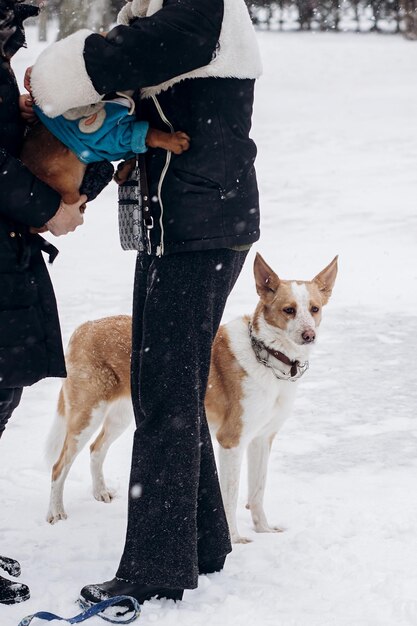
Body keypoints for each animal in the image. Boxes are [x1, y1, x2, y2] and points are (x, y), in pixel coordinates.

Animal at [46, 254, 338, 540]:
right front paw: (235, 539)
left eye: (314, 309)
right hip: (87, 415)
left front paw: (264, 530)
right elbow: (230, 496)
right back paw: (56, 512)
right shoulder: (231, 440)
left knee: (96, 449)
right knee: (59, 465)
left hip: (122, 415)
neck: (267, 355)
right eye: (289, 310)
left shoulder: (262, 438)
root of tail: (85, 327)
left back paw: (100, 492)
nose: (309, 335)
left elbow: (257, 491)